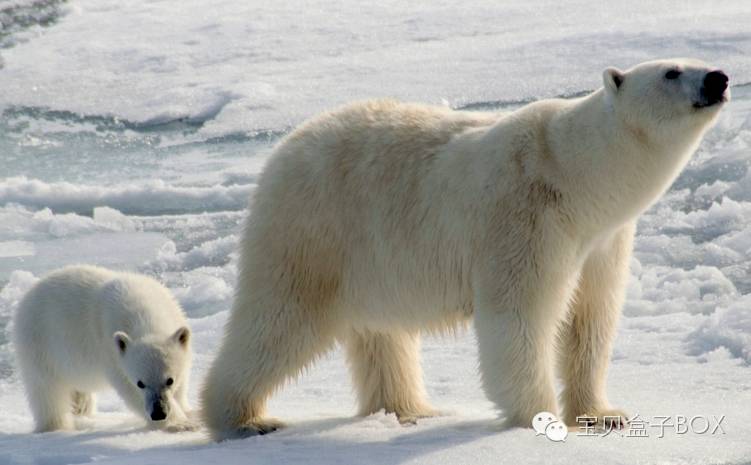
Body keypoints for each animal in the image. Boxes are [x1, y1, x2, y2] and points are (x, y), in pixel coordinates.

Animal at [201, 58, 728, 438]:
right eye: (671, 71)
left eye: (694, 59)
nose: (719, 78)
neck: (576, 177)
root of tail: (282, 148)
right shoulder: (524, 218)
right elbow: (519, 315)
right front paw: (539, 418)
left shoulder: (603, 240)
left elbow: (591, 319)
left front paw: (604, 414)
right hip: (314, 229)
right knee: (280, 318)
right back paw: (245, 418)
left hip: (369, 256)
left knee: (381, 332)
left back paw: (409, 408)